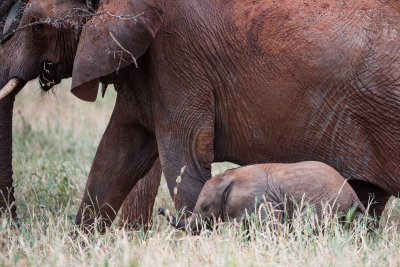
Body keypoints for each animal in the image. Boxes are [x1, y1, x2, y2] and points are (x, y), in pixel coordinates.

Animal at [159, 162, 366, 233]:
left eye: (205, 208)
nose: (160, 210)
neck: (231, 176)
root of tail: (354, 195)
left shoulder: (264, 202)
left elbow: (271, 227)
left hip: (325, 203)